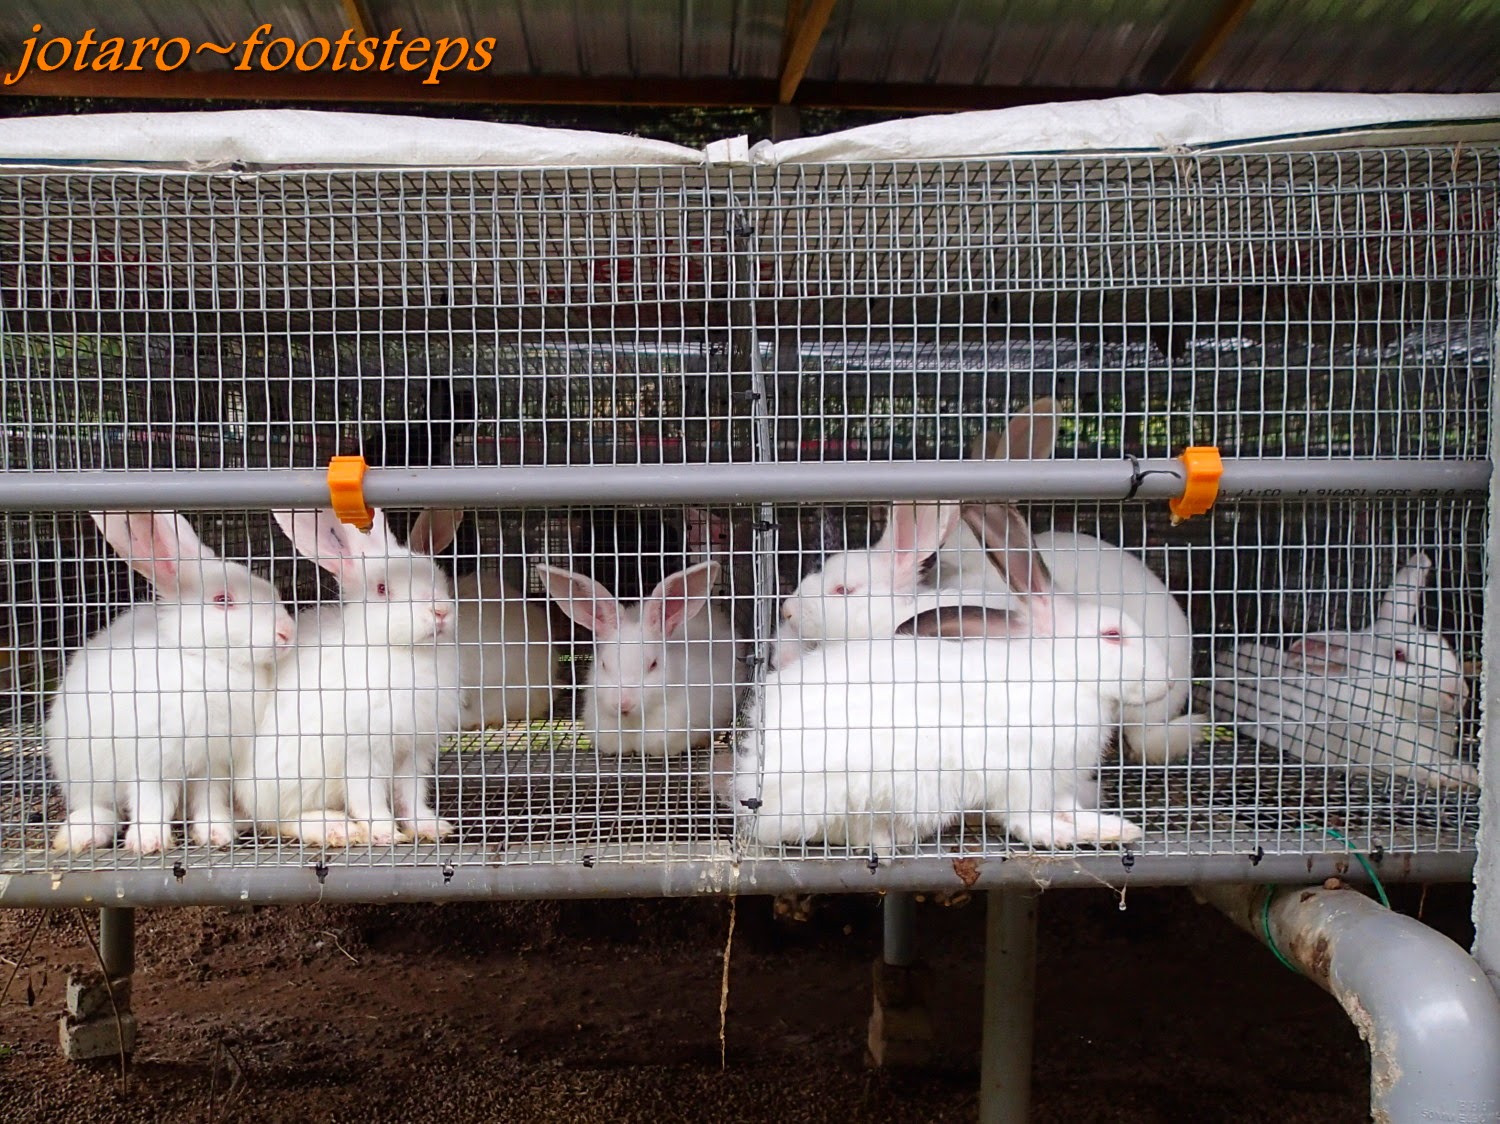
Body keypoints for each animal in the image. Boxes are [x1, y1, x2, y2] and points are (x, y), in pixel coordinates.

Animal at [46, 511, 296, 854]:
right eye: (223, 600)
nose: (287, 632)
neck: (205, 660)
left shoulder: (213, 765)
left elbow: (209, 800)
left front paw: (216, 833)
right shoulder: (151, 761)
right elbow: (152, 801)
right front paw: (148, 842)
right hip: (84, 770)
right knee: (100, 806)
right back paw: (84, 833)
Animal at [242, 508, 463, 847]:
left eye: (438, 578)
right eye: (382, 589)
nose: (439, 612)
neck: (405, 652)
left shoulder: (412, 753)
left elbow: (411, 795)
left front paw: (430, 827)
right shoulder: (360, 753)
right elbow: (367, 798)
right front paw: (385, 833)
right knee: (277, 818)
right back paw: (336, 828)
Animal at [730, 502, 1170, 851]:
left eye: (842, 589)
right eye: (1112, 635)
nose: (1164, 681)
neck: (1062, 674)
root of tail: (753, 787)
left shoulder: (1059, 783)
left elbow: (1071, 810)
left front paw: (1118, 830)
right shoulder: (1024, 779)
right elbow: (1030, 824)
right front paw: (1066, 836)